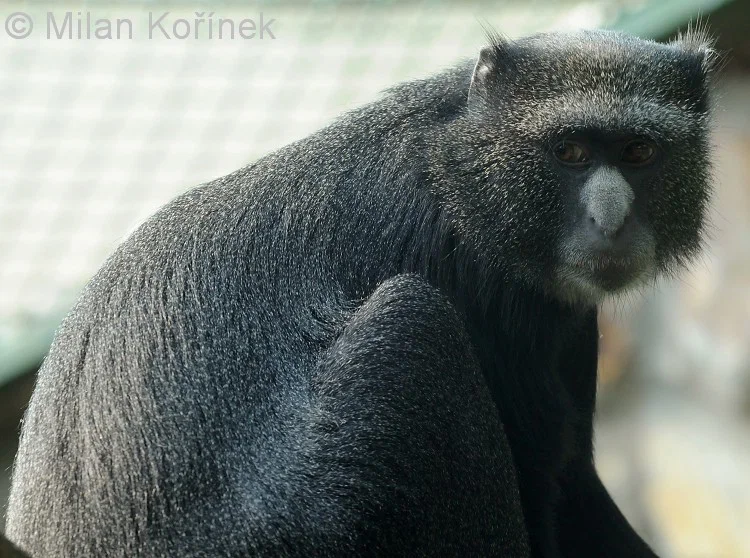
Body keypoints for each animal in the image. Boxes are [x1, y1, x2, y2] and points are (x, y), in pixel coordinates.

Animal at [5, 29, 720, 558]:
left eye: (638, 151)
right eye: (570, 152)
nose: (610, 217)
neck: (460, 173)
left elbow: (573, 489)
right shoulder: (478, 291)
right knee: (414, 324)